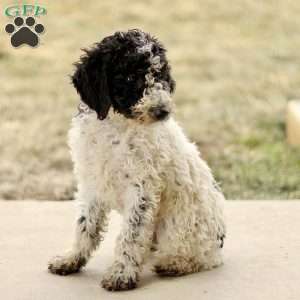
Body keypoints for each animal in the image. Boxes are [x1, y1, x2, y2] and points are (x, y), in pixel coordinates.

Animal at [48, 28, 225, 290]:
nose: (162, 111)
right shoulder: (92, 183)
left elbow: (131, 233)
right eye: (130, 77)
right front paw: (71, 259)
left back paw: (174, 263)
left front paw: (121, 274)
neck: (116, 127)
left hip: (180, 225)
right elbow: (85, 225)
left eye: (160, 75)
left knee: (199, 257)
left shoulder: (142, 187)